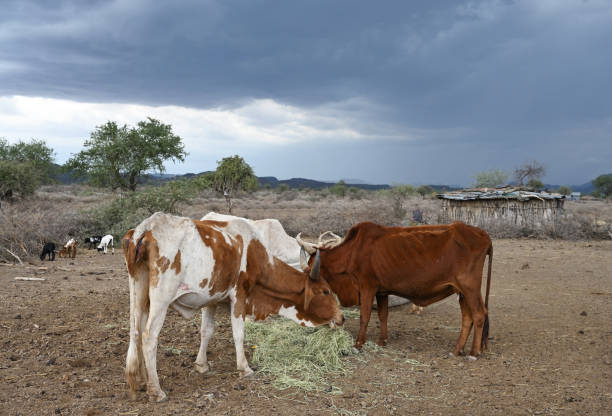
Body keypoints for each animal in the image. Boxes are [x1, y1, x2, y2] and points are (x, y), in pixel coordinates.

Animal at [123, 213, 344, 402]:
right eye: (326, 291)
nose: (342, 318)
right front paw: (244, 368)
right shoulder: (239, 295)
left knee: (136, 331)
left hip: (139, 291)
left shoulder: (211, 299)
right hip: (161, 296)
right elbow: (239, 333)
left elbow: (206, 331)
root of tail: (147, 227)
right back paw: (156, 390)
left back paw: (142, 380)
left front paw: (201, 365)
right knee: (149, 336)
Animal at [298, 221, 494, 360]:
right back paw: (456, 350)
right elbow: (383, 314)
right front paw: (381, 340)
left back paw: (473, 353)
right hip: (461, 291)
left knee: (479, 314)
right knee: (467, 318)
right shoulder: (381, 291)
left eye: (310, 274)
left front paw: (358, 344)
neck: (352, 252)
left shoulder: (367, 287)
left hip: (470, 287)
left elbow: (365, 316)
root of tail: (482, 234)